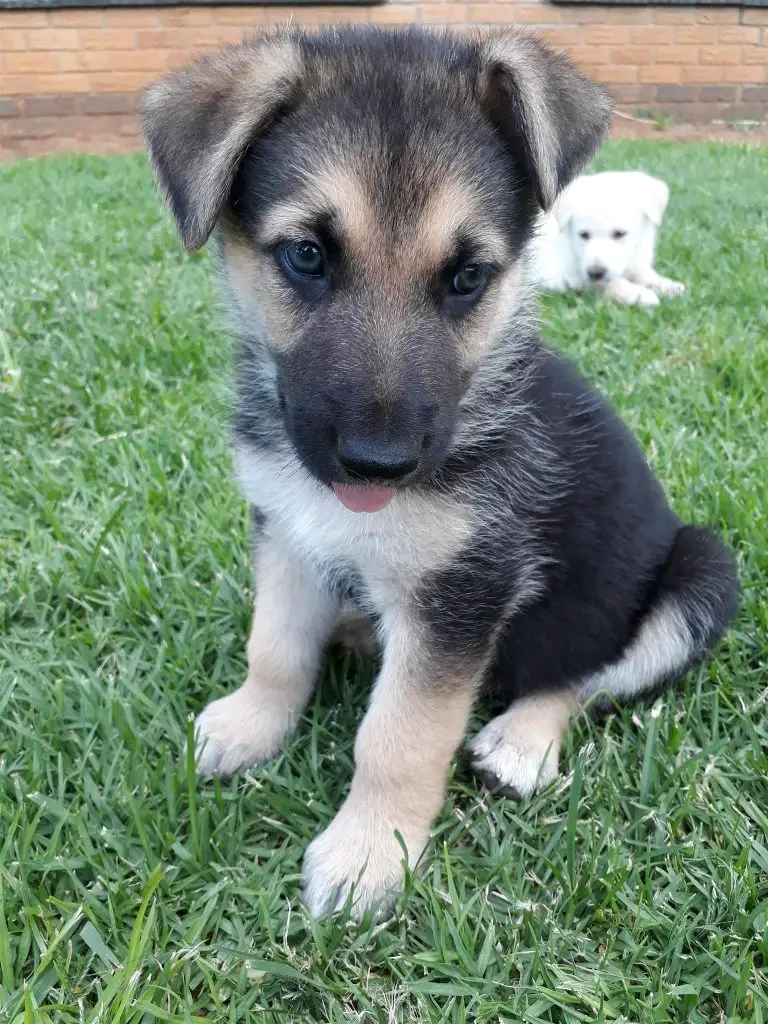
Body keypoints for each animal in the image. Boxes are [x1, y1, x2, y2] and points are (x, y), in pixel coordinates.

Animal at [532, 171, 688, 307]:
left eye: (619, 233)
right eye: (583, 235)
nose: (596, 273)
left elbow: (644, 273)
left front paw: (667, 285)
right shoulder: (570, 275)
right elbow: (611, 284)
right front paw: (639, 295)